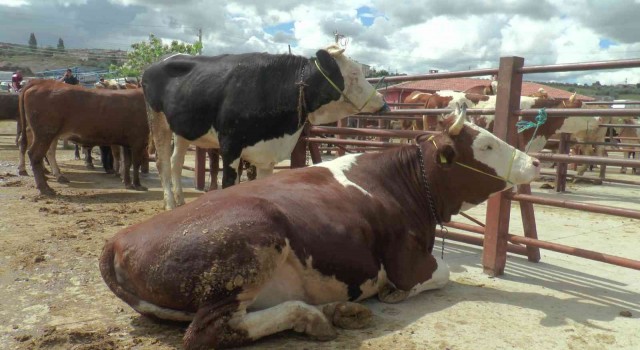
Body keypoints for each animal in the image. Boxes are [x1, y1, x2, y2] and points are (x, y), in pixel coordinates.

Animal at [17, 78, 150, 194]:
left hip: (49, 134)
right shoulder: (139, 140)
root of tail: (40, 82)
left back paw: (56, 177)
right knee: (34, 154)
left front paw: (128, 183)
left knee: (47, 152)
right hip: (44, 134)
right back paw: (45, 188)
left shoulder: (127, 142)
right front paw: (138, 185)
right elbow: (136, 163)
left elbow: (127, 163)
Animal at [100, 105, 540, 348]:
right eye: (485, 144)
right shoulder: (406, 261)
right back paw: (313, 317)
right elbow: (441, 274)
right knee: (211, 331)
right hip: (253, 243)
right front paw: (394, 293)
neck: (402, 185)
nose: (534, 162)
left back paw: (337, 309)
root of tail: (118, 239)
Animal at [142, 43, 388, 208]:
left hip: (182, 128)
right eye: (354, 73)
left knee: (176, 161)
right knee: (163, 163)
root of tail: (154, 64)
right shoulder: (230, 145)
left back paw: (180, 201)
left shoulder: (267, 154)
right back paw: (170, 204)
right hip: (157, 120)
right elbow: (229, 183)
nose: (383, 103)